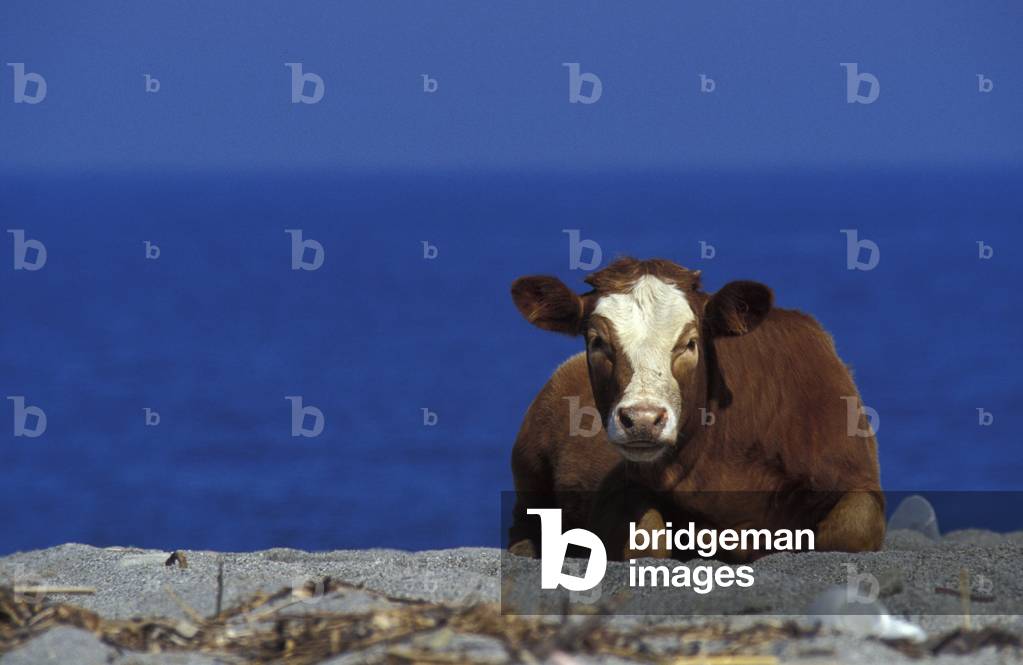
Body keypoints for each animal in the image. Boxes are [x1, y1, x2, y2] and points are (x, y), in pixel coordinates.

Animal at [507, 257, 884, 562]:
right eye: (597, 341)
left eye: (690, 342)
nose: (642, 420)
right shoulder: (618, 488)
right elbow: (647, 539)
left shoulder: (856, 478)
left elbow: (853, 528)